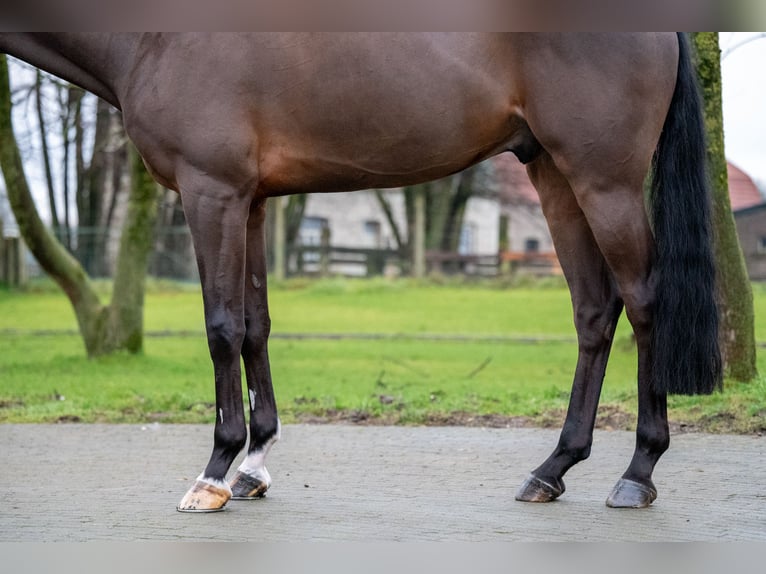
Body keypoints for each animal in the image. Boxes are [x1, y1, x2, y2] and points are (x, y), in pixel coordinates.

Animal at [0, 33, 724, 512]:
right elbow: (256, 325)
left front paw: (214, 473)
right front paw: (253, 467)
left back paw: (637, 472)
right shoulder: (251, 201)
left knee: (644, 302)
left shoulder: (211, 193)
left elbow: (222, 327)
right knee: (594, 310)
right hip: (552, 170)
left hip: (605, 179)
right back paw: (551, 469)